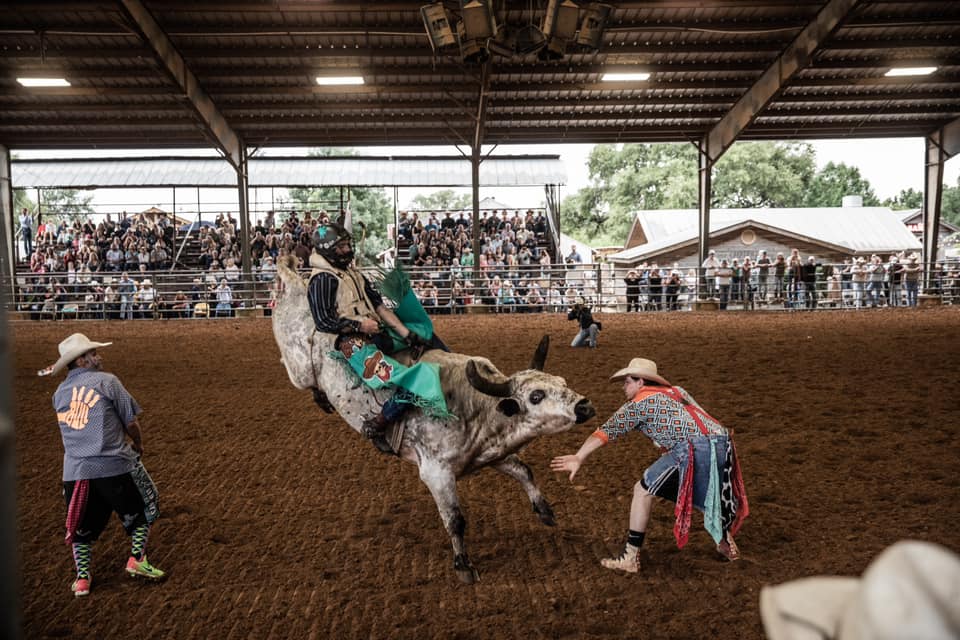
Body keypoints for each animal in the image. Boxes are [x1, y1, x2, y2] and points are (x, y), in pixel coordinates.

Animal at [270, 256, 596, 584]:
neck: (474, 406)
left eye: (562, 381)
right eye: (536, 396)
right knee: (298, 370)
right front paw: (463, 564)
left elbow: (524, 471)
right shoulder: (436, 473)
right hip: (300, 364)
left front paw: (545, 511)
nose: (584, 406)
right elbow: (455, 519)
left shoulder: (491, 453)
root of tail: (299, 283)